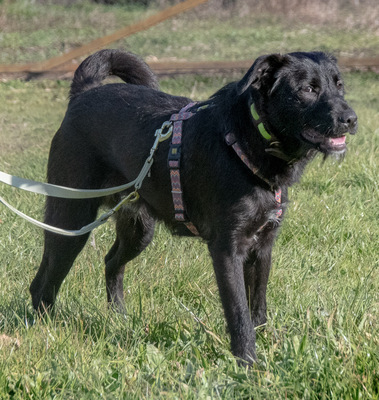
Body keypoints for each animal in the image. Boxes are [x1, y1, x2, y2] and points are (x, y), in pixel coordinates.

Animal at [29, 49, 356, 362]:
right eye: (308, 89)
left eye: (339, 85)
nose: (352, 119)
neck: (247, 139)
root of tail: (82, 93)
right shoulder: (227, 250)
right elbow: (239, 314)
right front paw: (248, 363)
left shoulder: (262, 247)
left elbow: (258, 307)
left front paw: (268, 349)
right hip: (71, 220)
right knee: (44, 281)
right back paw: (46, 330)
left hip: (139, 229)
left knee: (110, 262)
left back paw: (119, 318)